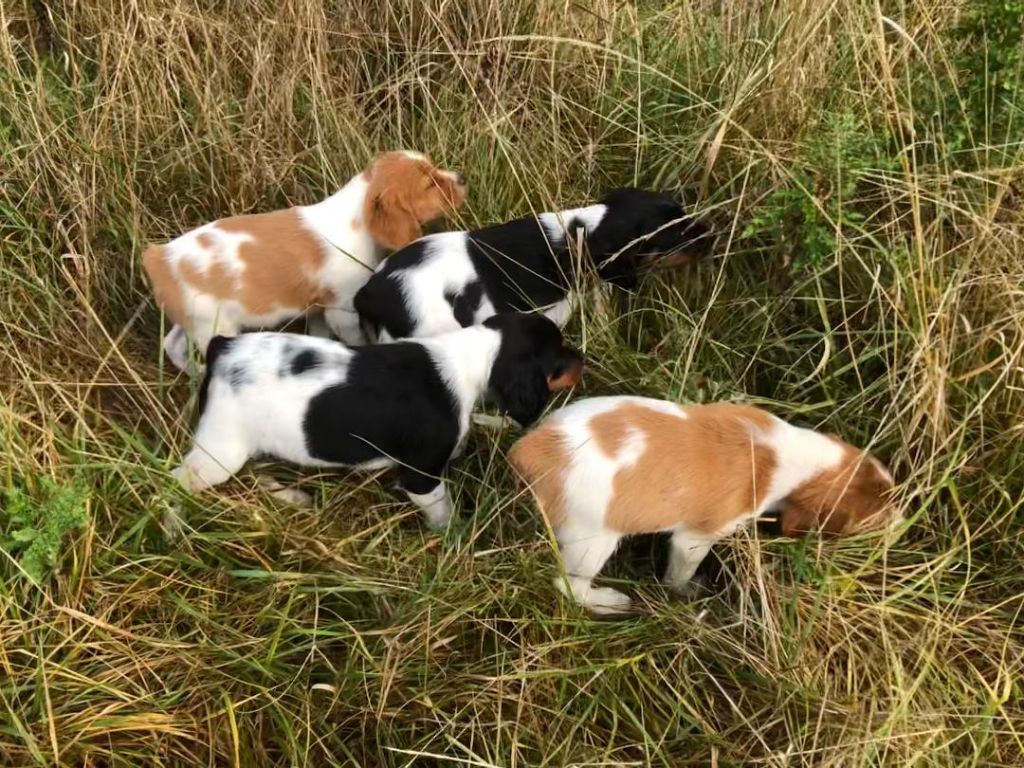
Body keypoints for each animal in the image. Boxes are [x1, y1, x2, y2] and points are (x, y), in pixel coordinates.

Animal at [141, 150, 468, 370]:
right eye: (429, 184)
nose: (462, 179)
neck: (357, 215)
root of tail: (158, 258)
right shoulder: (341, 309)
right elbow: (358, 339)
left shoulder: (319, 310)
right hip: (214, 326)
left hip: (191, 319)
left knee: (172, 345)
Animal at [168, 313, 585, 528]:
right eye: (559, 355)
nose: (583, 358)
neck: (470, 355)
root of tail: (221, 348)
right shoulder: (421, 476)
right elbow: (442, 511)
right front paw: (453, 536)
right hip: (220, 450)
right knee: (176, 482)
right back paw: (173, 524)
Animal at [507, 397, 901, 614]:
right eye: (875, 516)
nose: (903, 522)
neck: (786, 454)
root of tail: (531, 446)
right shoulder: (695, 539)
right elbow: (680, 573)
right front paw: (684, 592)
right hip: (591, 541)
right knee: (567, 583)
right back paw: (608, 601)